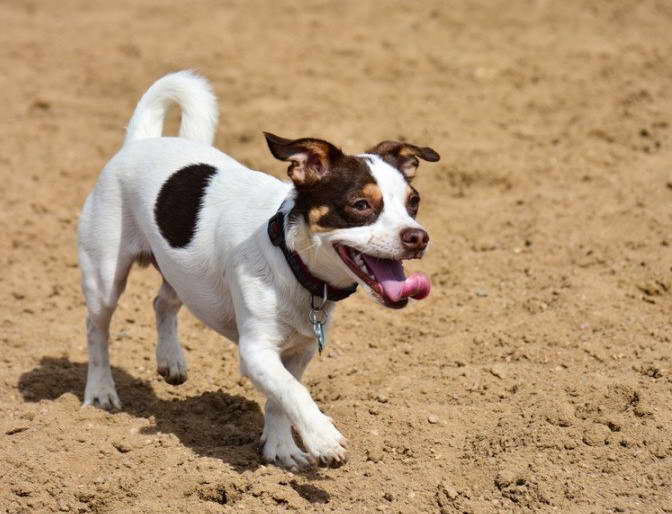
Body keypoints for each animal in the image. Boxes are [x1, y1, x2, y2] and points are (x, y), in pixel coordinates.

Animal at [76, 71, 438, 468]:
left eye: (414, 202)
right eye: (360, 205)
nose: (418, 237)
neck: (290, 258)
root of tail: (141, 141)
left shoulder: (299, 350)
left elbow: (282, 397)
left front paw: (281, 448)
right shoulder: (256, 350)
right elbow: (294, 392)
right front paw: (322, 438)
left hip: (182, 271)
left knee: (163, 303)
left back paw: (171, 360)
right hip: (105, 277)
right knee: (97, 329)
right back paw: (101, 391)